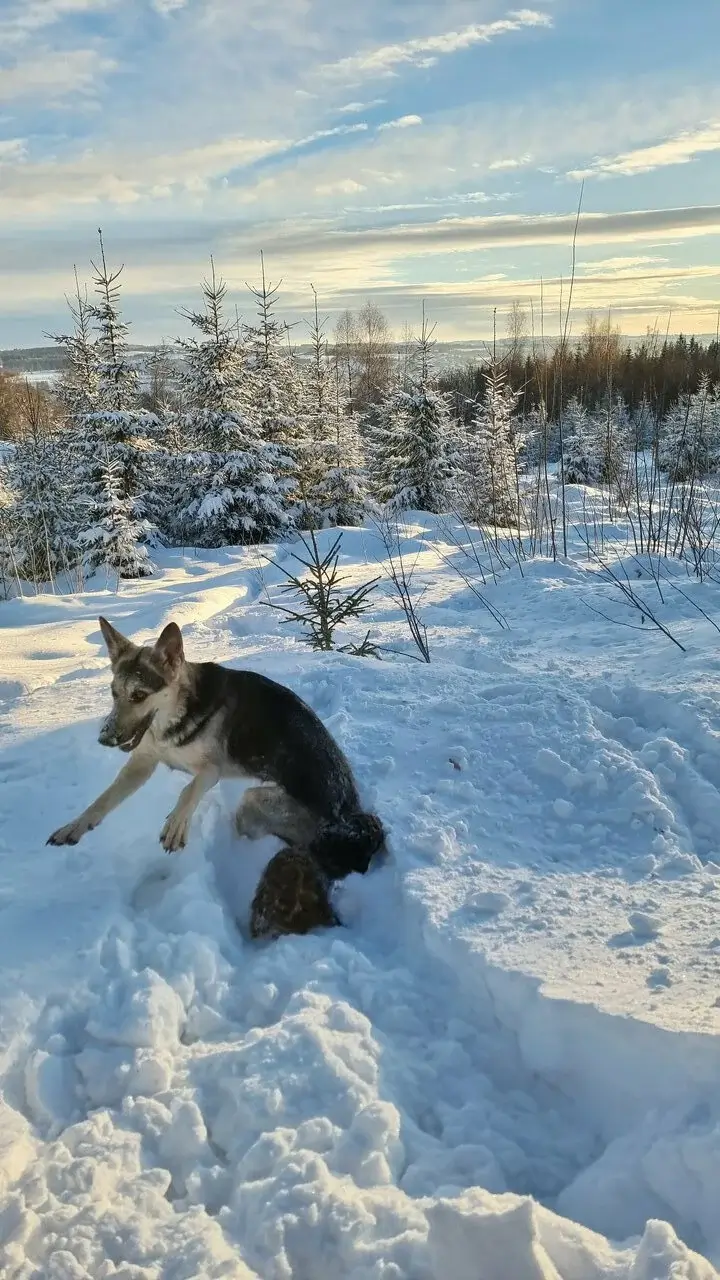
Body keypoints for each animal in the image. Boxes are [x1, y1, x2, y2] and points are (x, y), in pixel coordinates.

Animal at [47, 618, 385, 891]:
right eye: (113, 693)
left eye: (139, 695)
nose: (104, 738)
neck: (175, 714)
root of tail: (348, 816)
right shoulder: (143, 761)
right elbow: (103, 800)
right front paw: (74, 826)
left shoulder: (212, 770)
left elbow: (188, 789)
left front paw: (176, 825)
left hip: (254, 801)